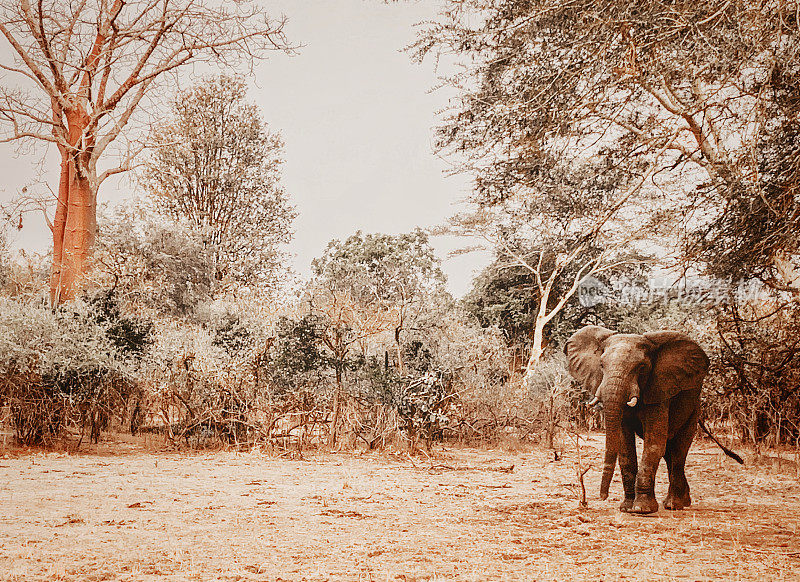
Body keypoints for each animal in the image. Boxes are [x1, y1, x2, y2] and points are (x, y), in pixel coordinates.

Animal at [564, 328, 740, 516]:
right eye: (602, 365)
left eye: (641, 367)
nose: (602, 497)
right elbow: (625, 447)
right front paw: (627, 507)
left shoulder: (660, 389)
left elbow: (654, 444)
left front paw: (642, 509)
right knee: (669, 453)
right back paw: (682, 501)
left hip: (694, 409)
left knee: (679, 450)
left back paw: (674, 504)